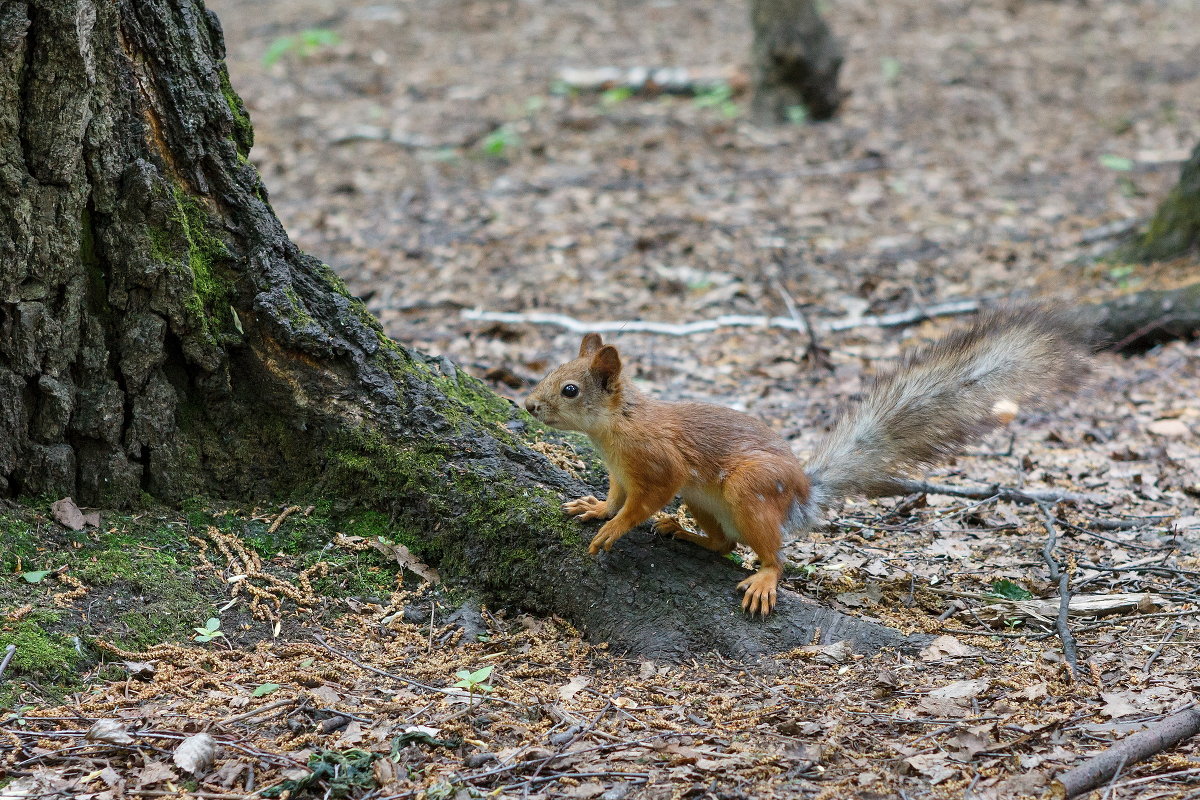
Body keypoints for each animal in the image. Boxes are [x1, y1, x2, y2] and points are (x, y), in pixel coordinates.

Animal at [520, 309, 1094, 618]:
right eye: (550, 373)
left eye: (569, 389)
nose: (527, 405)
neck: (615, 429)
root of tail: (800, 495)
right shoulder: (621, 471)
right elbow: (616, 495)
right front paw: (596, 510)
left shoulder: (658, 464)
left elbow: (643, 501)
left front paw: (614, 529)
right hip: (708, 502)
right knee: (724, 543)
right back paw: (685, 533)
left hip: (750, 489)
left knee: (773, 555)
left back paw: (763, 577)